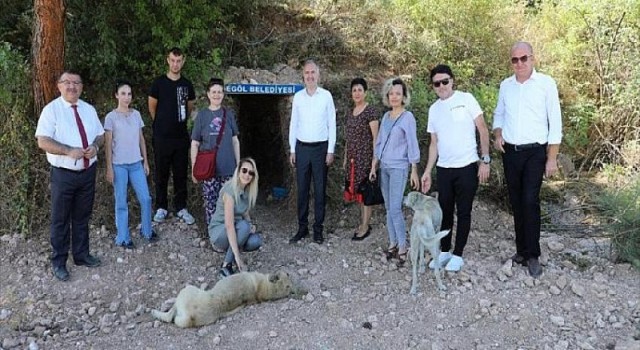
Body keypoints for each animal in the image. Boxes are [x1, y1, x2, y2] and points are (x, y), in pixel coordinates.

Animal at [152, 270, 308, 328]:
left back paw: (158, 311)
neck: (264, 288)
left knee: (169, 316)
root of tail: (191, 317)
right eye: (287, 275)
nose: (286, 270)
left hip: (186, 291)